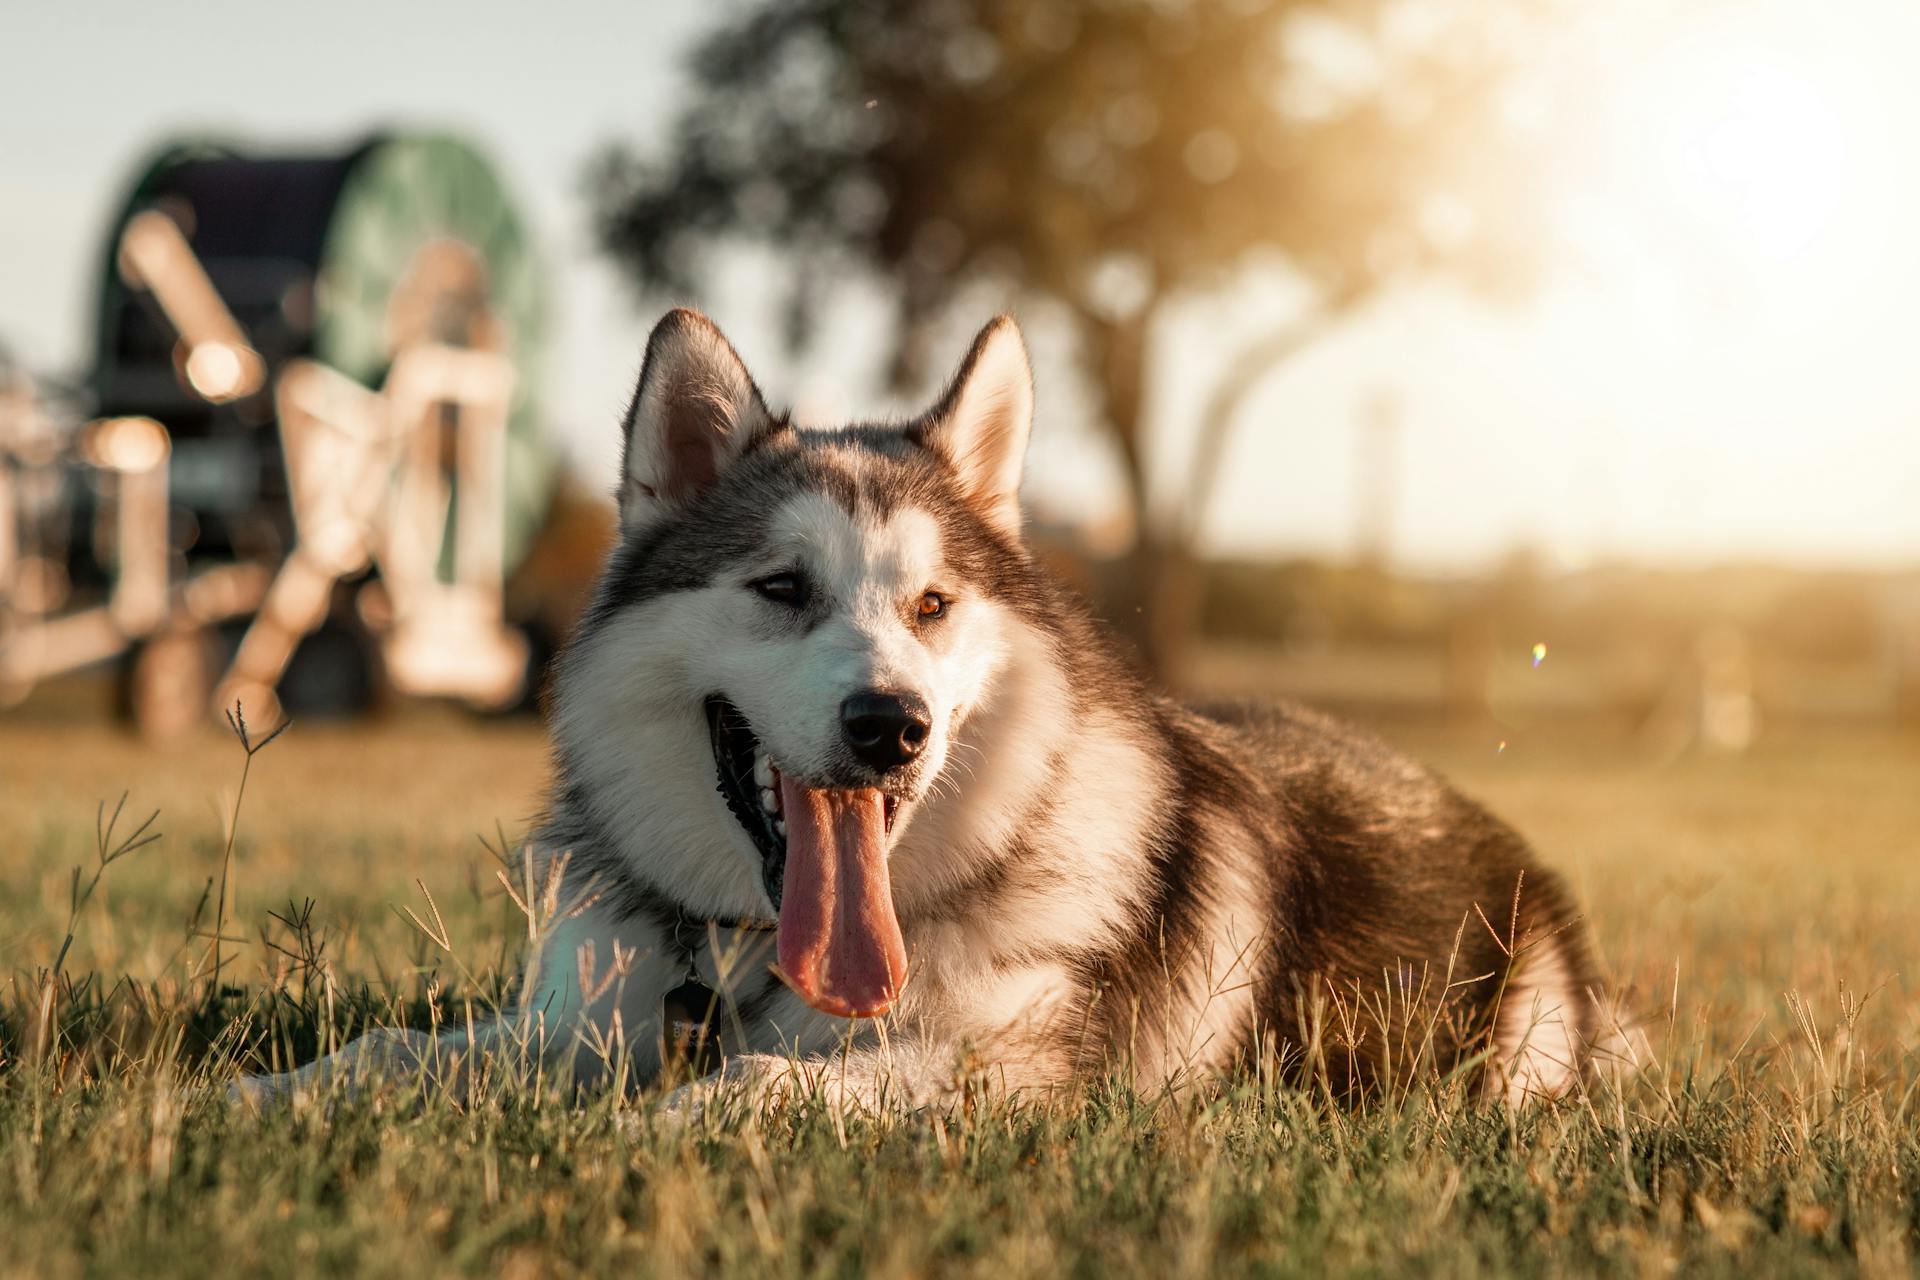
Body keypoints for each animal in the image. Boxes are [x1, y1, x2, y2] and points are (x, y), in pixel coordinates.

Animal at [228, 307, 1605, 1113]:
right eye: (782, 587)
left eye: (935, 603)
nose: (892, 724)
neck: (749, 963)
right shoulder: (582, 1015)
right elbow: (390, 1050)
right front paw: (255, 1098)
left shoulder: (1030, 1073)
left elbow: (763, 1087)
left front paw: (659, 1124)